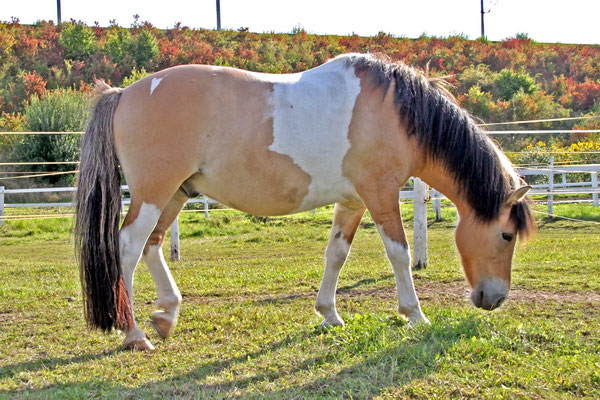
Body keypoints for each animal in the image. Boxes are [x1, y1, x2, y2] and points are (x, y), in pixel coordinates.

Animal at [75, 53, 536, 350]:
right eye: (507, 235)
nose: (494, 298)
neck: (397, 113)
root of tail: (124, 92)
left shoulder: (353, 202)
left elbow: (336, 254)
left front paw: (329, 313)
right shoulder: (380, 193)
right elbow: (400, 253)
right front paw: (415, 314)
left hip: (176, 193)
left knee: (152, 246)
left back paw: (166, 314)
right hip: (155, 192)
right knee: (128, 247)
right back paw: (135, 333)